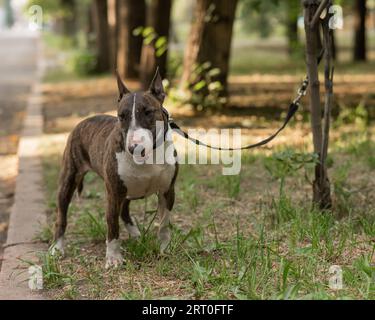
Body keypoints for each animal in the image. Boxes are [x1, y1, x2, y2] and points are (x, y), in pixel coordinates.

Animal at [51, 69, 179, 268]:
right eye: (121, 116)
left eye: (148, 112)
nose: (134, 147)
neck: (149, 157)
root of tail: (83, 121)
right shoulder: (113, 192)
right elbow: (112, 224)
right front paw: (113, 258)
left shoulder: (167, 190)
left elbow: (164, 223)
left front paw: (164, 249)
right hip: (69, 179)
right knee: (61, 216)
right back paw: (57, 248)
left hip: (127, 191)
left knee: (124, 210)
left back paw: (135, 234)